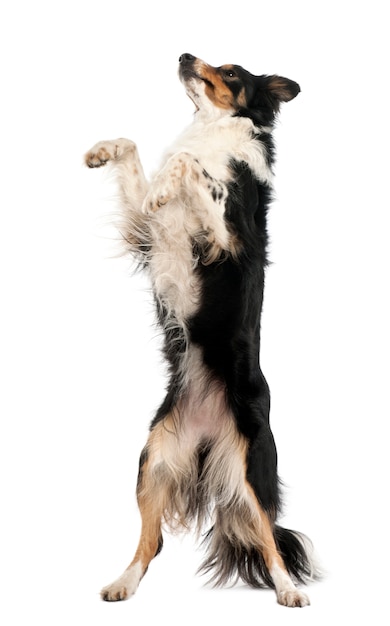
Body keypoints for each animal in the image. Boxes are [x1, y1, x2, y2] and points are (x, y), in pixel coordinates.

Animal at [85, 53, 316, 604]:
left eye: (232, 72)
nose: (185, 55)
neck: (212, 128)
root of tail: (209, 437)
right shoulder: (145, 234)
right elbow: (138, 154)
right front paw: (104, 151)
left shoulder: (230, 238)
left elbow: (190, 166)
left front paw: (169, 180)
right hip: (153, 458)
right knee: (151, 543)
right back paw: (122, 584)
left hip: (253, 469)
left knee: (270, 539)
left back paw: (289, 592)